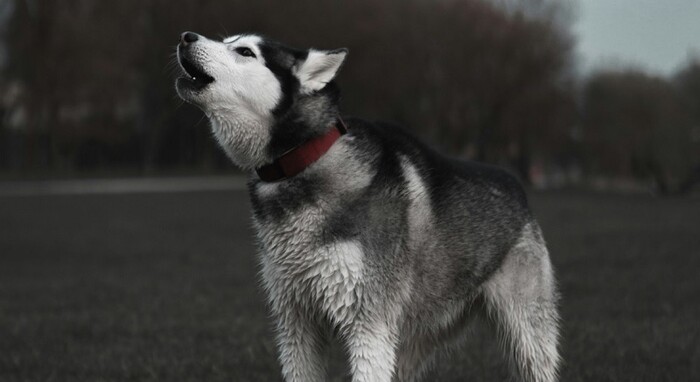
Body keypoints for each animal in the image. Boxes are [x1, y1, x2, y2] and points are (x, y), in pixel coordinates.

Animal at [176, 31, 564, 380]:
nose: (186, 37)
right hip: (414, 338)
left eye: (244, 51)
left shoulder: (368, 323)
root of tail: (513, 180)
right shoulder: (297, 323)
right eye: (227, 40)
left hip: (526, 334)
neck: (303, 161)